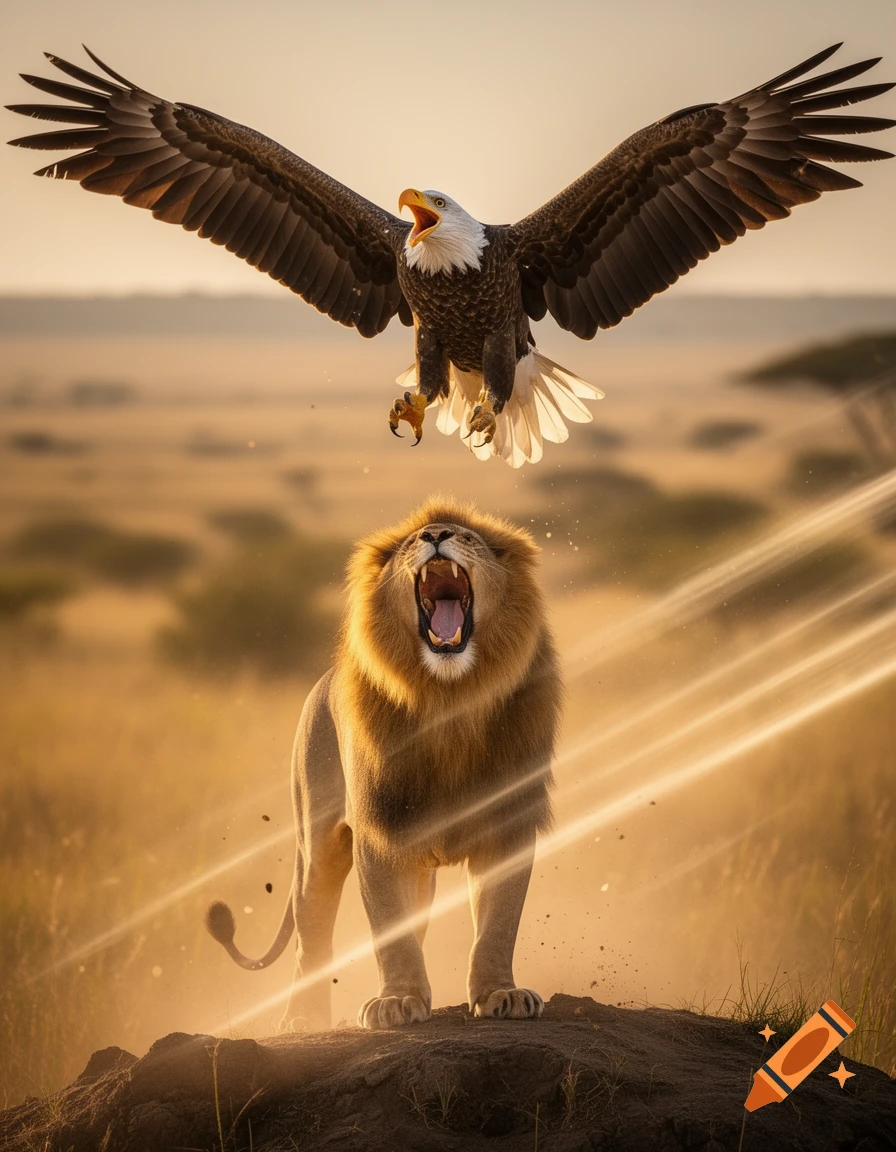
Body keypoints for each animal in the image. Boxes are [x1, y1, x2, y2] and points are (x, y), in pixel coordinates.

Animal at [205, 497, 562, 1030]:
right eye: (413, 541)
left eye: (469, 538)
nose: (435, 535)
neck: (449, 699)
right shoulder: (379, 831)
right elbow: (389, 932)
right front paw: (396, 1001)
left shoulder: (509, 822)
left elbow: (498, 923)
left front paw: (501, 993)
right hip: (317, 847)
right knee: (311, 938)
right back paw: (302, 1021)